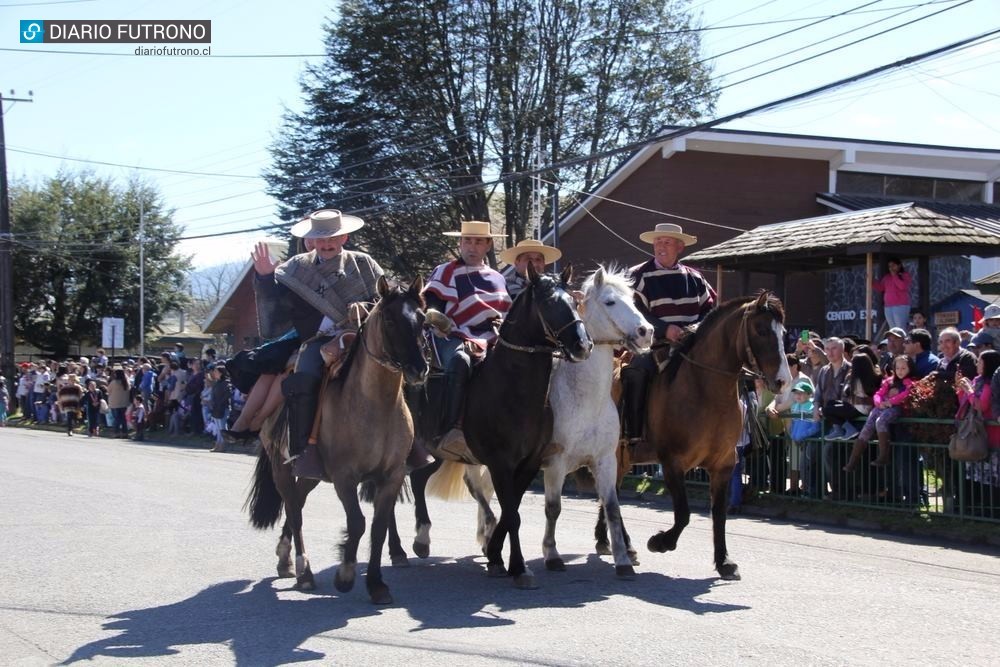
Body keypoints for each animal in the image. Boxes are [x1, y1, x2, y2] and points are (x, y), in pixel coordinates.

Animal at [247, 276, 430, 604]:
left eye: (422, 319)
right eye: (389, 319)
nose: (419, 369)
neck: (374, 406)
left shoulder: (392, 476)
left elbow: (378, 527)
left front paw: (377, 584)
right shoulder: (345, 477)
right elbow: (357, 523)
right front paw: (345, 575)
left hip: (311, 473)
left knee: (298, 500)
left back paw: (284, 557)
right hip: (282, 466)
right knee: (294, 509)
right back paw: (304, 571)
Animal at [424, 266, 652, 580]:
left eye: (632, 299)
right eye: (610, 301)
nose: (646, 333)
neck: (585, 399)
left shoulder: (606, 460)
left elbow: (612, 508)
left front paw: (622, 560)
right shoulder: (555, 462)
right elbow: (552, 508)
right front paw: (551, 555)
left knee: (484, 491)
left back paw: (487, 539)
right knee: (475, 488)